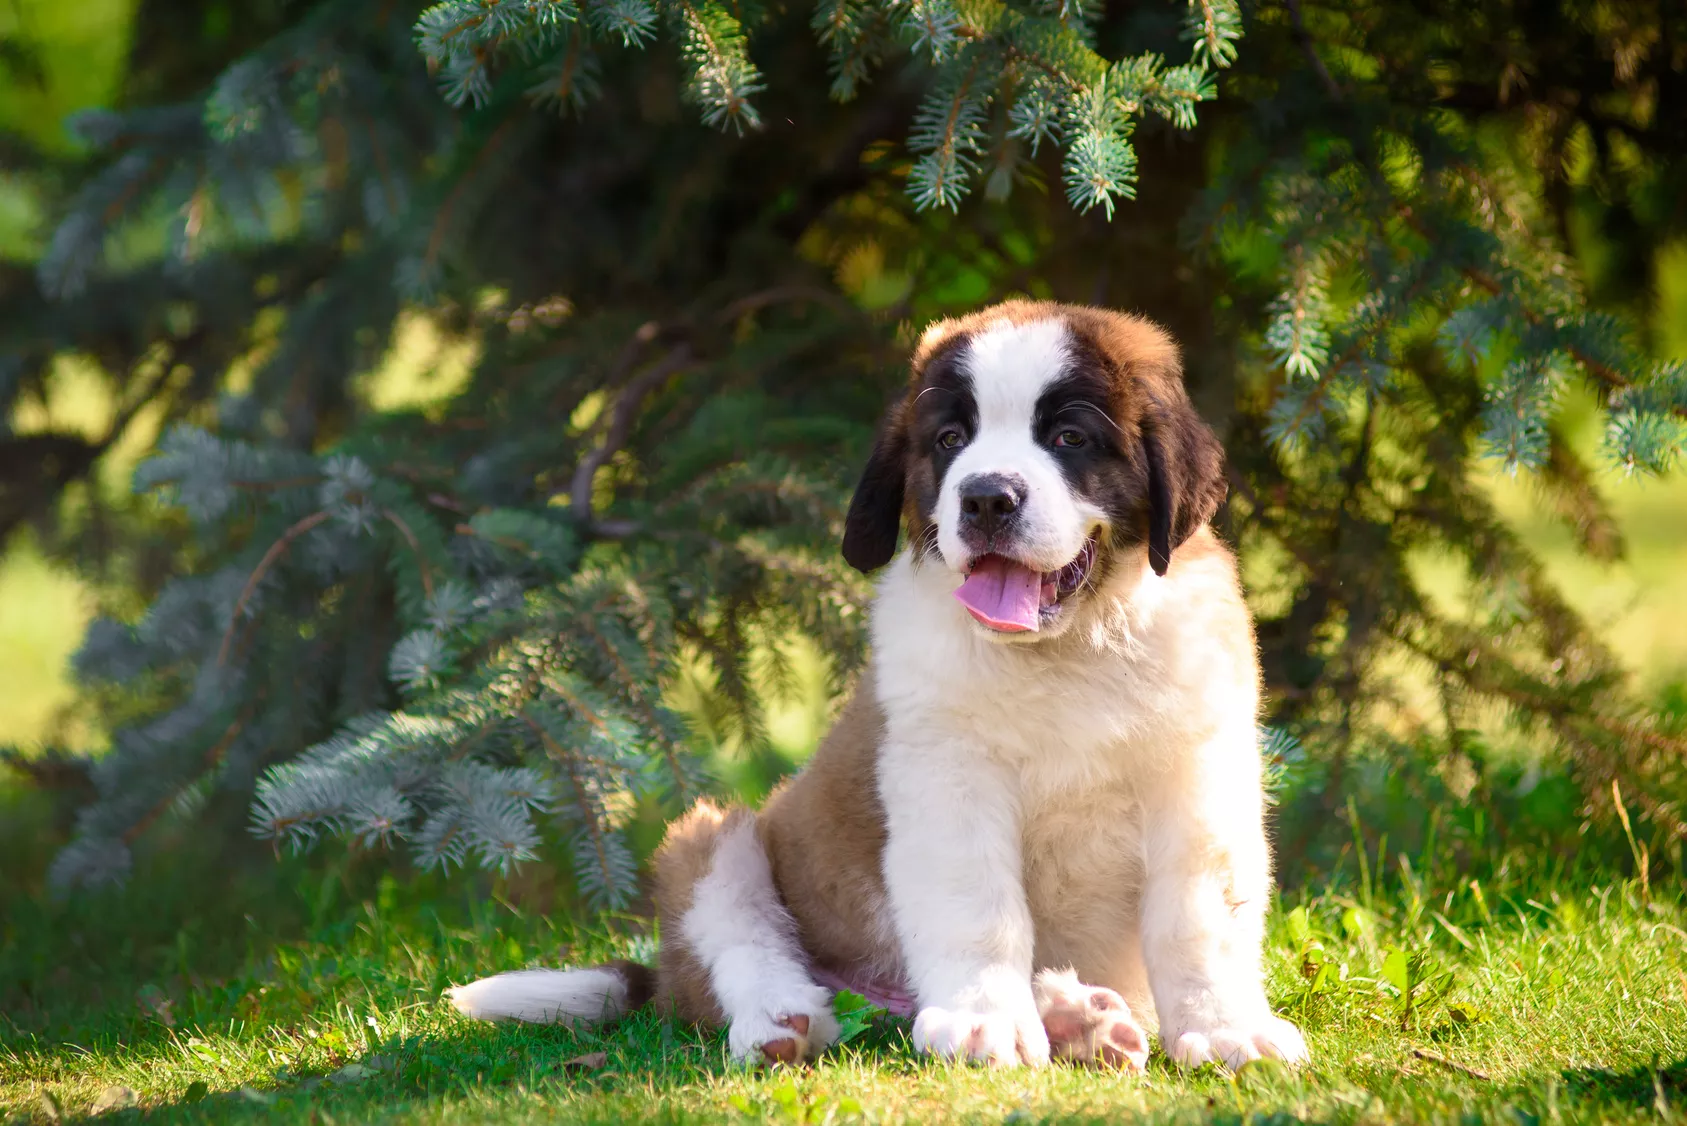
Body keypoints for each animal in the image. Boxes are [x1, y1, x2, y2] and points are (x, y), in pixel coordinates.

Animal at [455, 302, 1309, 1073]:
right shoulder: (947, 777)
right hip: (709, 836)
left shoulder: (1196, 775)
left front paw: (1225, 1029)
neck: (1067, 651)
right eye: (949, 441)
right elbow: (978, 908)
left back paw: (1077, 1018)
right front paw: (981, 1023)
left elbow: (1199, 918)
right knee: (739, 936)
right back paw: (782, 1020)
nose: (985, 496)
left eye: (1069, 438)